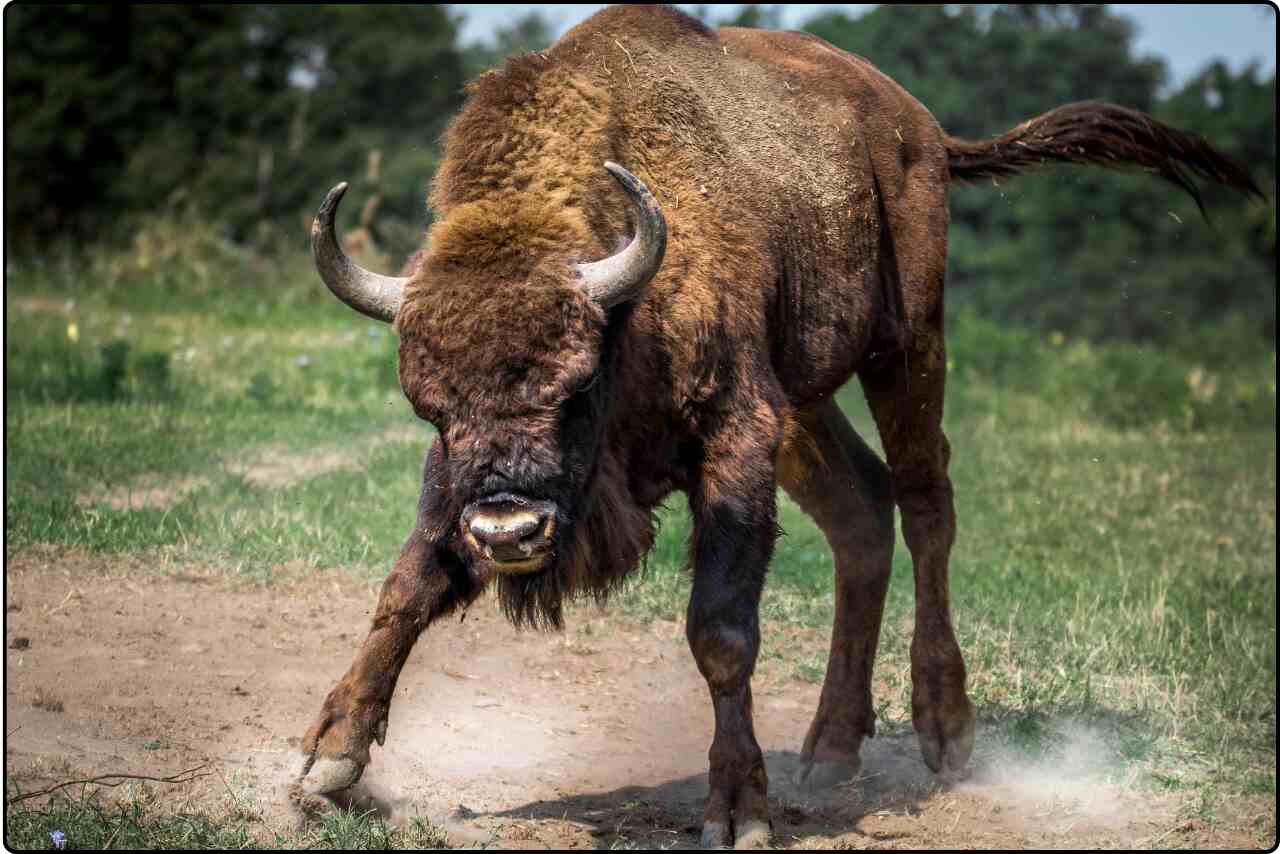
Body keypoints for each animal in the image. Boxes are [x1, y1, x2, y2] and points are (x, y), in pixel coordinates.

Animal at [293, 6, 1259, 850]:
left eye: (576, 384)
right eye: (430, 405)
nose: (508, 530)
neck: (627, 302)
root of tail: (918, 129)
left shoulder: (736, 438)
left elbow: (720, 632)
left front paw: (738, 812)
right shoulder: (465, 480)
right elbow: (408, 584)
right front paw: (326, 767)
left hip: (907, 344)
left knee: (925, 502)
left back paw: (945, 730)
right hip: (806, 401)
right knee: (861, 511)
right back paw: (830, 752)